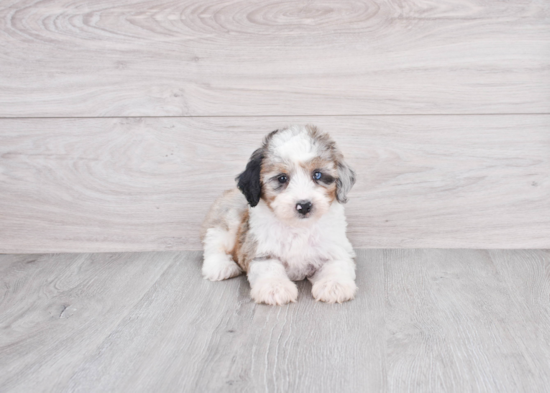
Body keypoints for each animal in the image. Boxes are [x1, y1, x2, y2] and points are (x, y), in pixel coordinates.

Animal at [203, 124, 358, 304]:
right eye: (282, 178)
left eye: (317, 174)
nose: (304, 206)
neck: (299, 227)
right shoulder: (260, 249)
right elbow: (269, 266)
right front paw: (275, 286)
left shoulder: (336, 247)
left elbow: (337, 264)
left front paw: (334, 284)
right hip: (228, 219)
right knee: (214, 243)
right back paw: (220, 267)